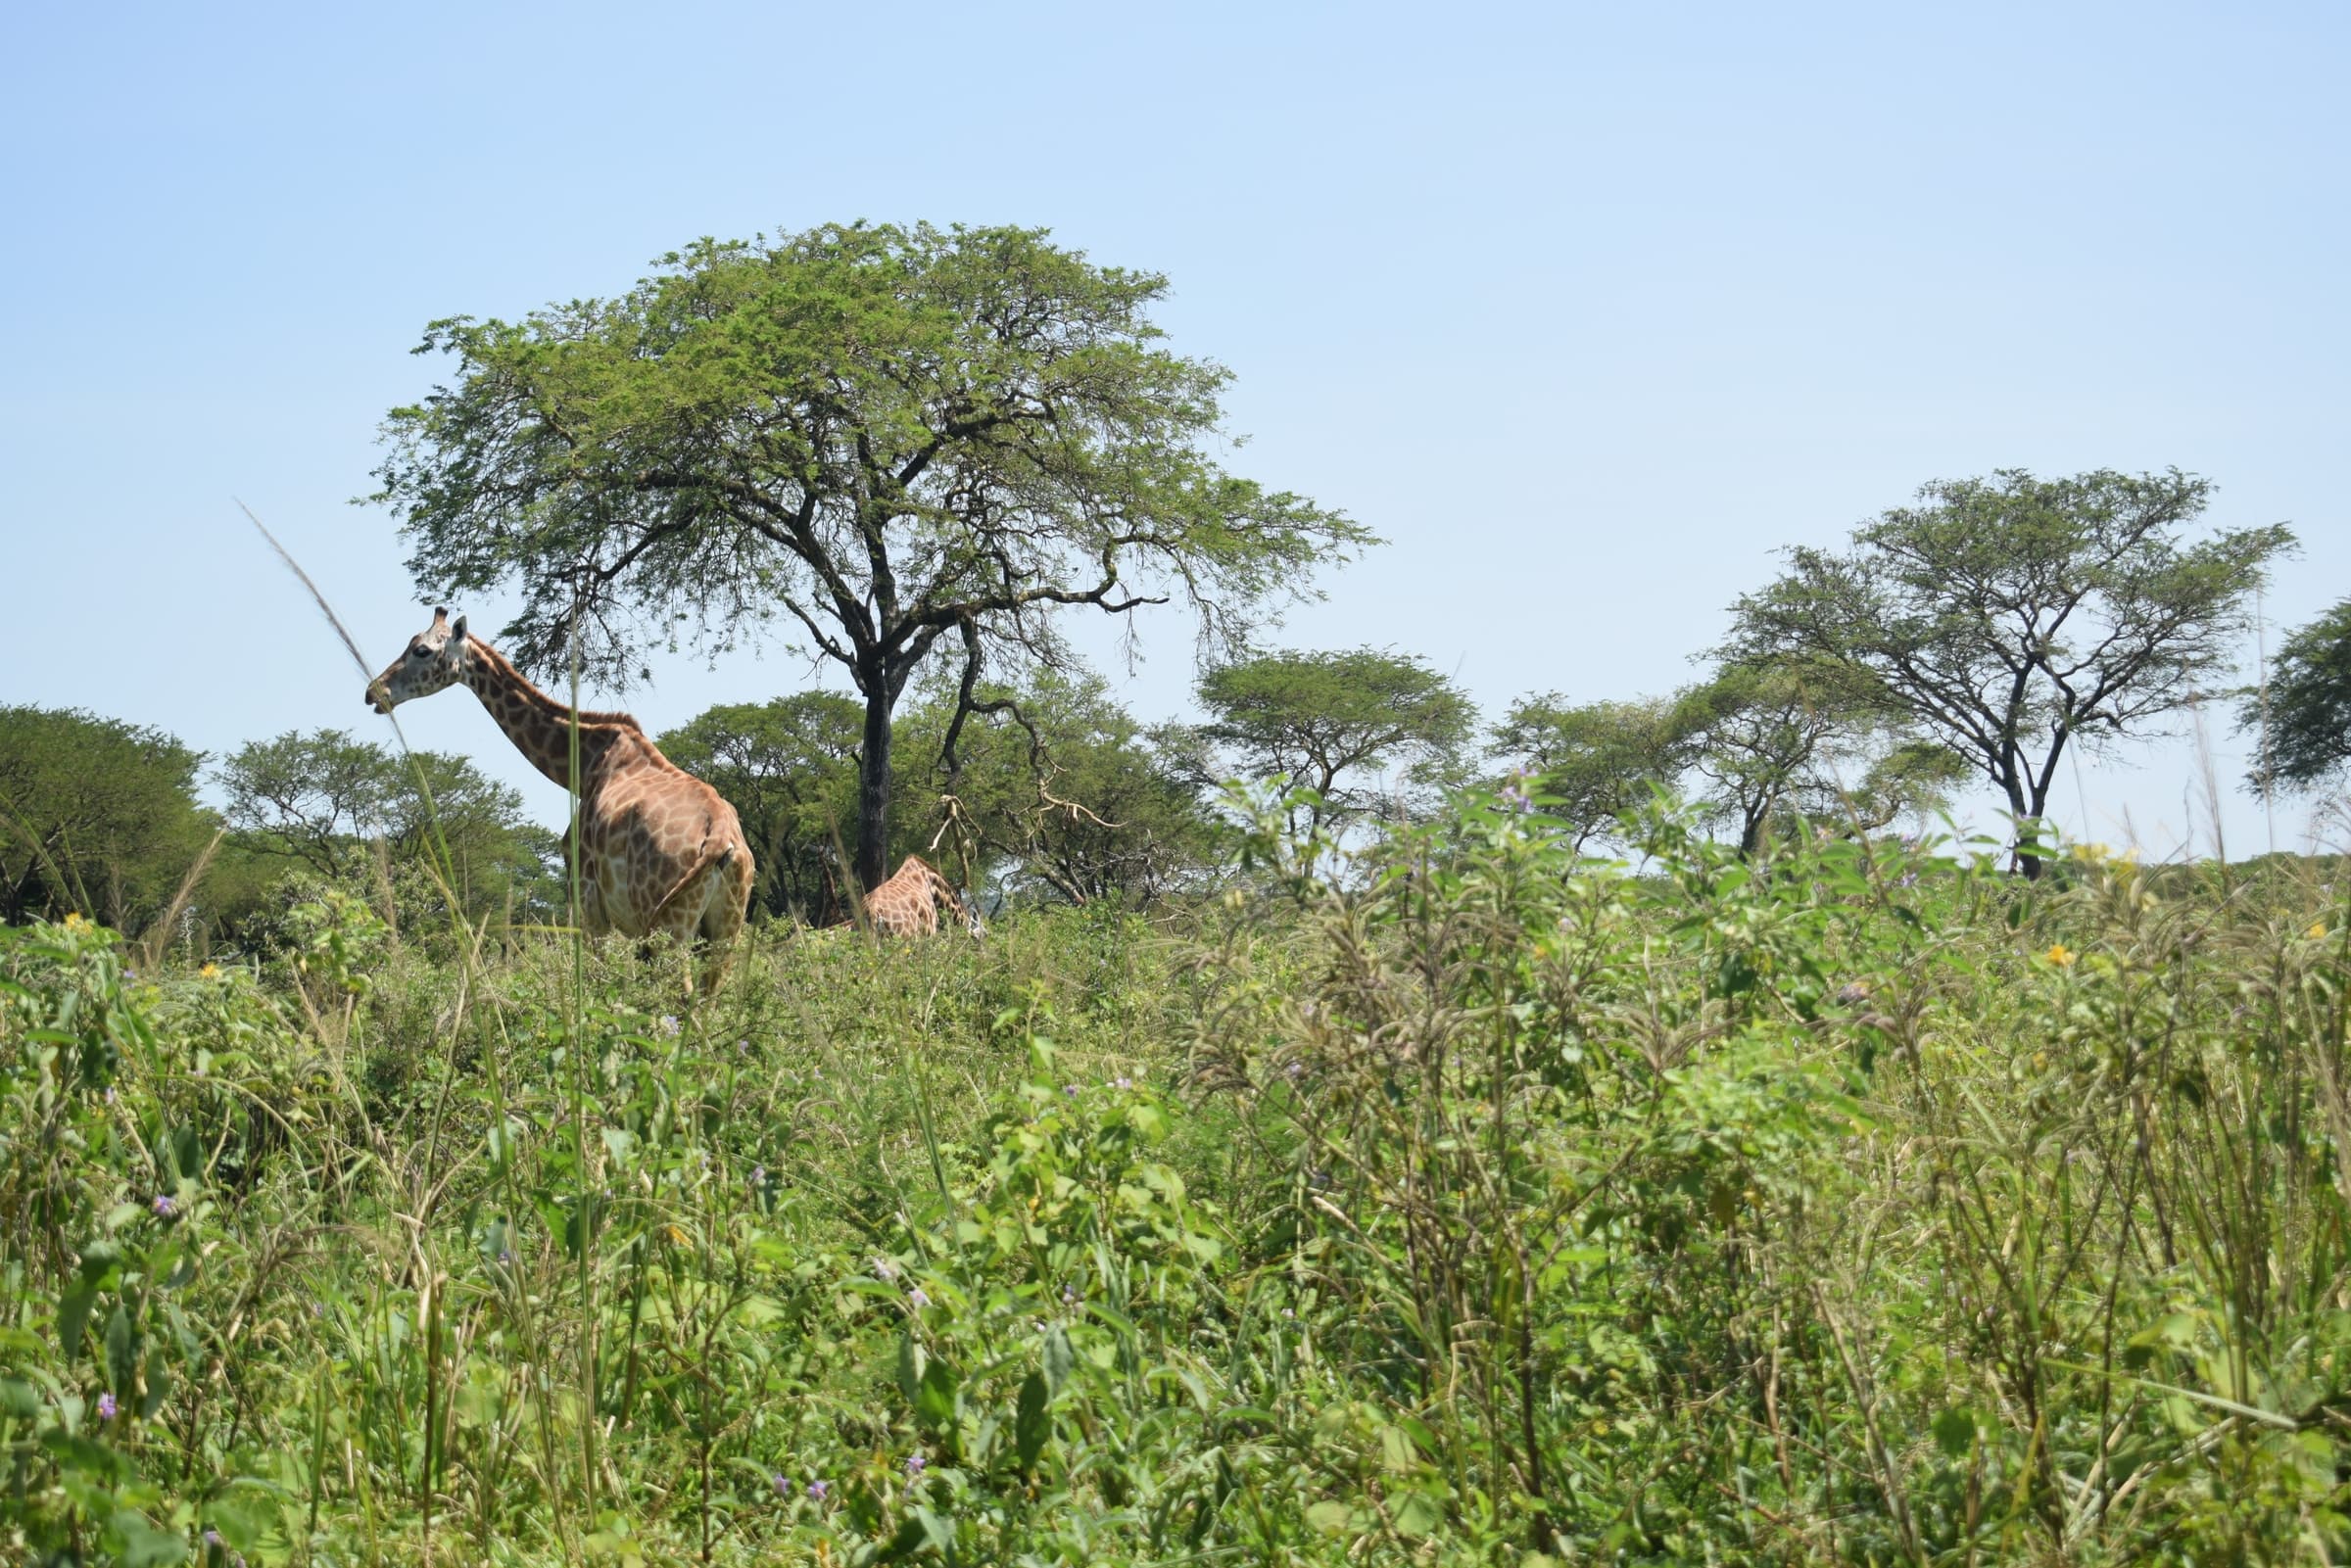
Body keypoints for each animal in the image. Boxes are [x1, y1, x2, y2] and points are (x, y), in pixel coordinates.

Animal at [364, 609, 754, 996]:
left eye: (422, 651)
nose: (373, 692)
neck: (583, 766)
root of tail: (721, 839)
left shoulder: (586, 897)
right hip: (726, 928)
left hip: (669, 925)